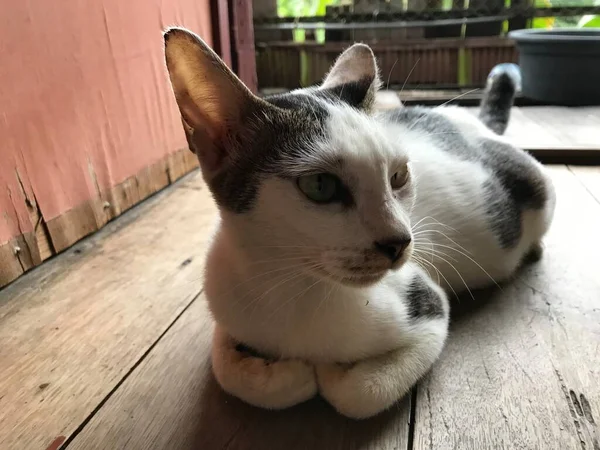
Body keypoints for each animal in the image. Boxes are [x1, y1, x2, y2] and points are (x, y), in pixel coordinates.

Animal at [164, 26, 556, 416]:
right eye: (320, 185)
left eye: (398, 176)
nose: (400, 241)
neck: (291, 289)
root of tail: (468, 122)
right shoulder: (228, 302)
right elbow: (226, 369)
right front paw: (281, 373)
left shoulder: (429, 308)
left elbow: (360, 393)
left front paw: (328, 373)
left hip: (540, 185)